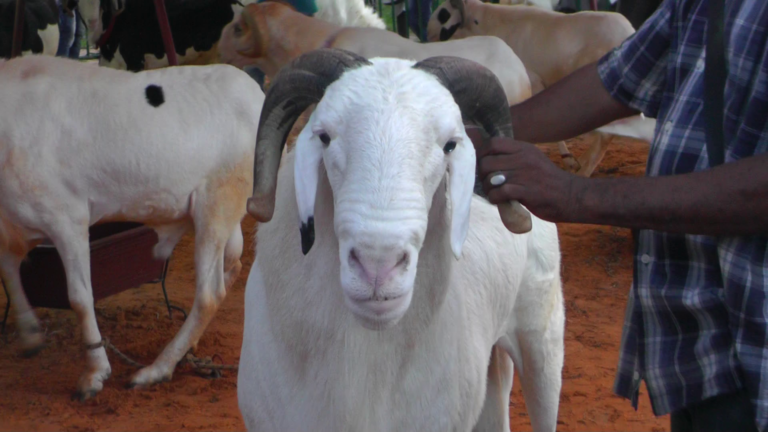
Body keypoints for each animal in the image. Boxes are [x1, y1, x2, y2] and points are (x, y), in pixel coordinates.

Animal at [0, 55, 264, 400]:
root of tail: (254, 89)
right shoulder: (15, 225)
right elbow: (9, 273)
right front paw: (30, 335)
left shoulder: (67, 218)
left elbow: (80, 298)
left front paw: (95, 373)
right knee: (233, 266)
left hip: (216, 207)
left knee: (209, 294)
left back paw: (157, 369)